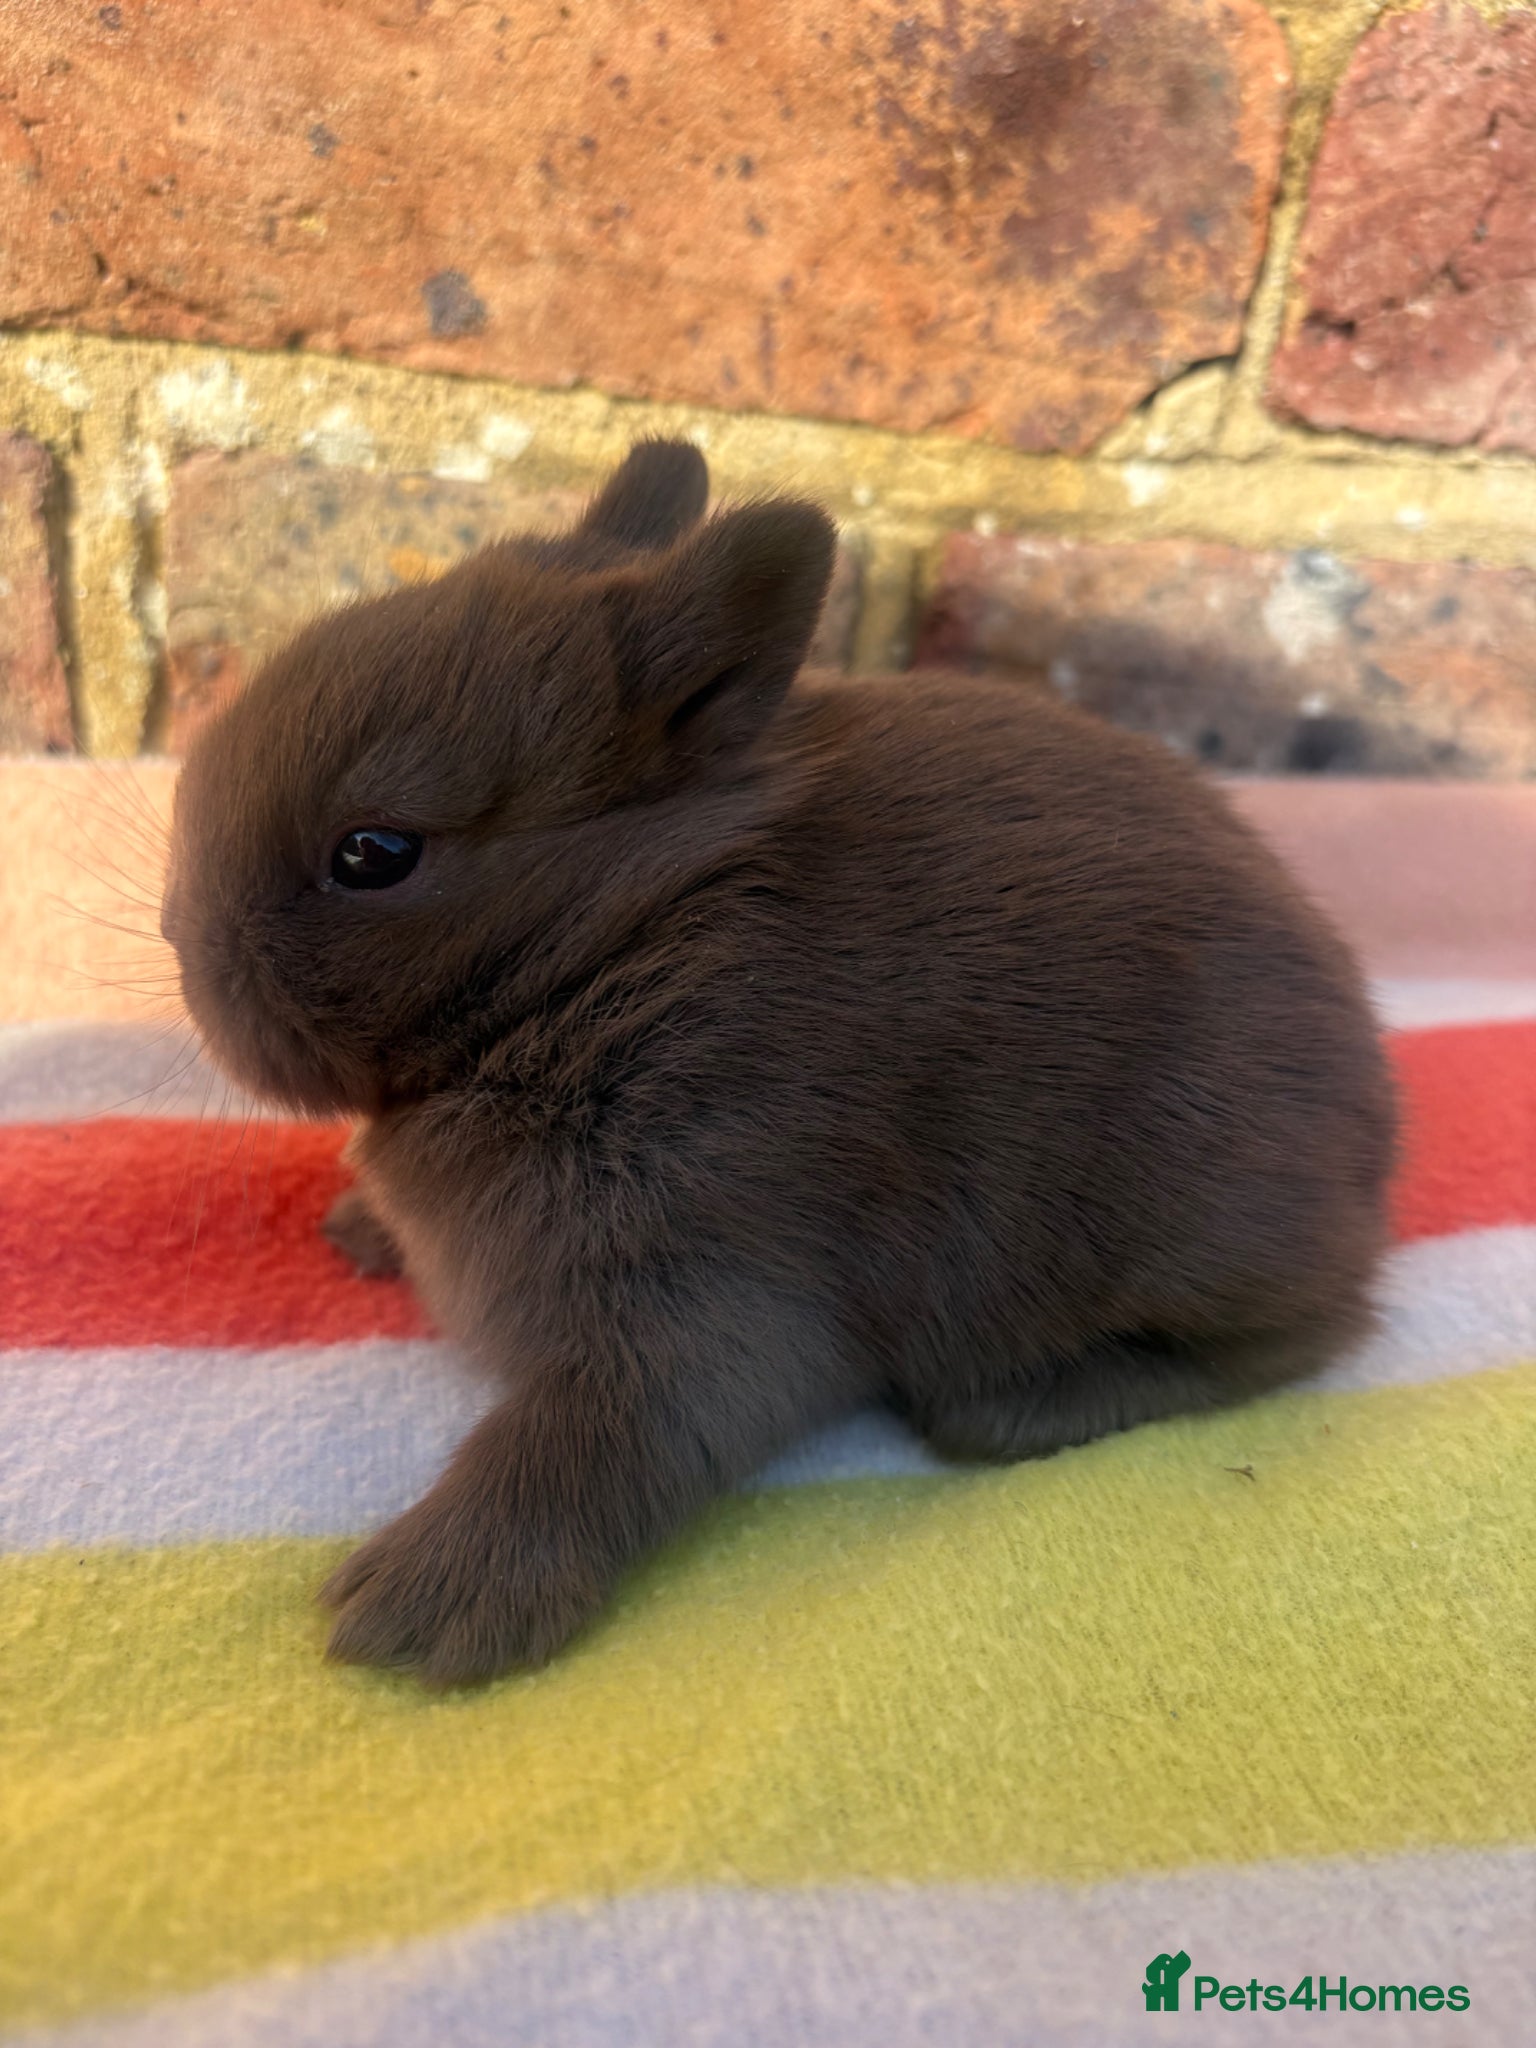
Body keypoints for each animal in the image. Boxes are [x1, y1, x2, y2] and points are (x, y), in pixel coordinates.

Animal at [162, 439, 1397, 1684]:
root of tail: (1372, 1150)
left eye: (375, 852)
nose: (178, 935)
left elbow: (583, 1440)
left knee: (1305, 1335)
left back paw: (1010, 1410)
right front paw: (361, 1230)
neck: (612, 947)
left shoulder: (711, 1285)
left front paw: (425, 1609)